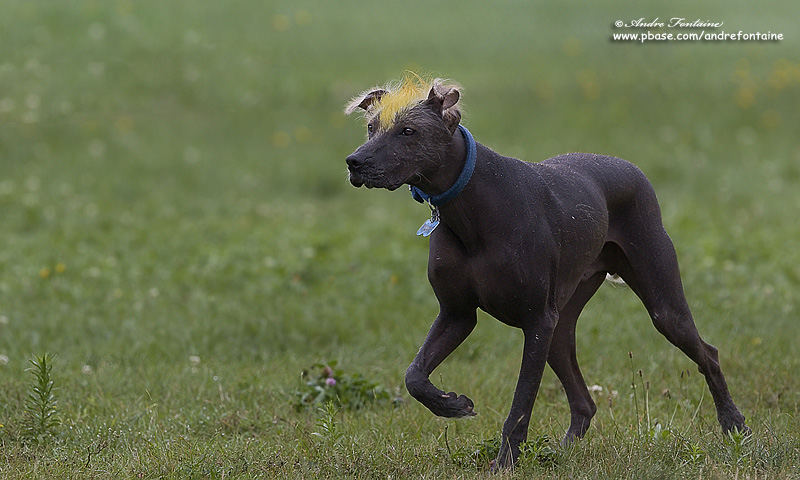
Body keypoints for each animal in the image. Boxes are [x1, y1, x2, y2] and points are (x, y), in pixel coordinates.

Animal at [344, 74, 752, 468]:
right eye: (371, 128)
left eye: (408, 131)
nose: (354, 162)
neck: (472, 206)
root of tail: (627, 166)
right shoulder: (457, 315)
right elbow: (414, 376)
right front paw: (452, 404)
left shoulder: (537, 322)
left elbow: (521, 406)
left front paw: (504, 465)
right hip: (560, 330)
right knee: (585, 403)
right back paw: (562, 452)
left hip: (660, 306)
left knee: (708, 353)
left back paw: (735, 426)